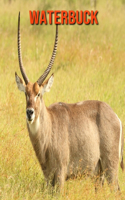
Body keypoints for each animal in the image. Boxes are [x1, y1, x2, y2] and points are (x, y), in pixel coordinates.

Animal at [15, 12, 123, 191]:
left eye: (39, 94)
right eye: (26, 93)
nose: (29, 113)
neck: (49, 125)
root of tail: (115, 116)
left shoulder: (60, 174)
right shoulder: (47, 177)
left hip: (110, 168)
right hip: (99, 174)